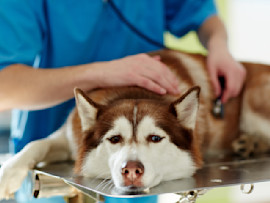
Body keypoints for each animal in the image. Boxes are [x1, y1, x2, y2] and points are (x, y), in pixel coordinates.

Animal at [0, 49, 270, 198]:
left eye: (155, 138)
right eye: (114, 139)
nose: (131, 170)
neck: (134, 90)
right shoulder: (70, 138)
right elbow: (36, 144)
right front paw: (8, 174)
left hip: (254, 97)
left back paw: (253, 143)